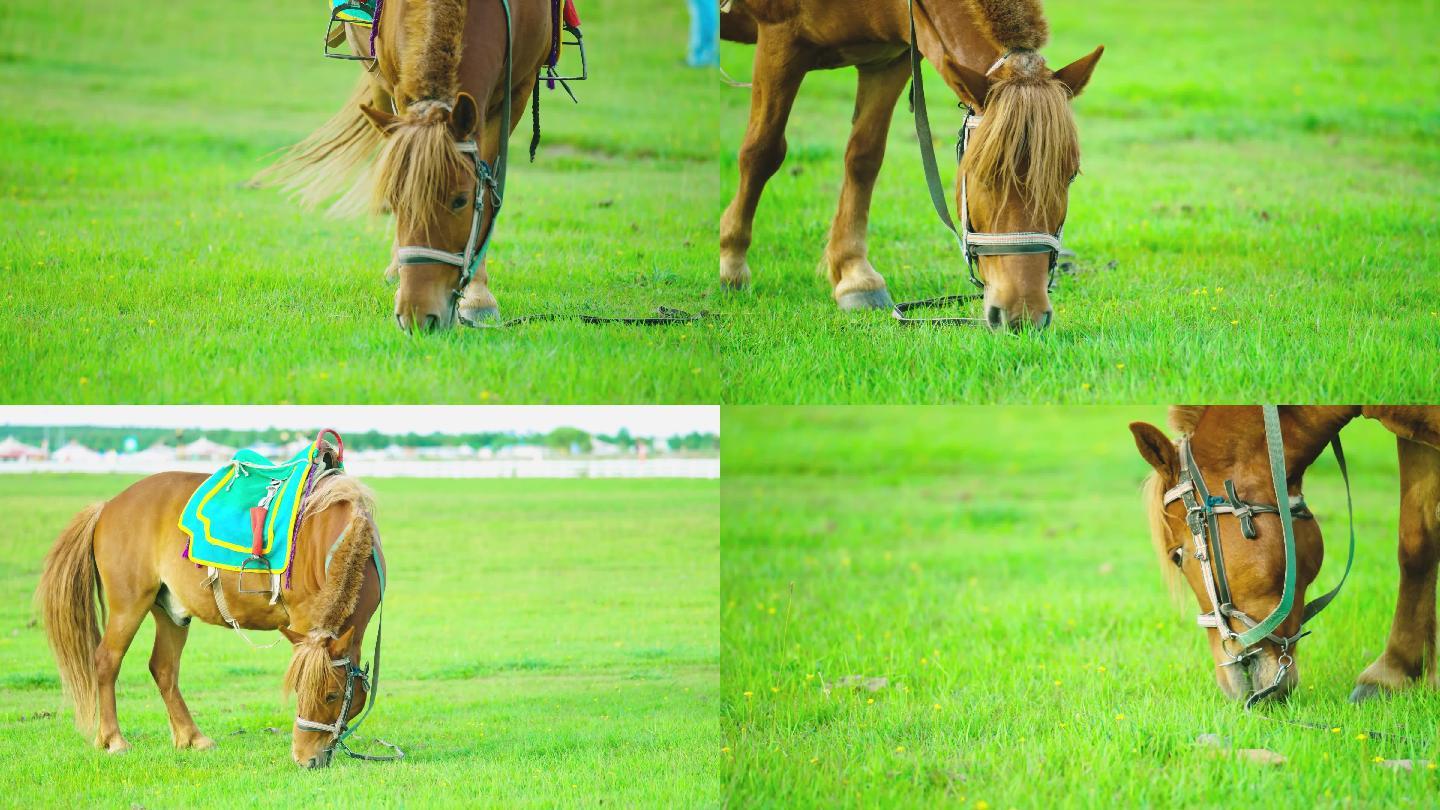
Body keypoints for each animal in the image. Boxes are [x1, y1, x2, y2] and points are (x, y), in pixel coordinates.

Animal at [37, 461, 388, 760]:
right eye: (299, 690)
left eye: (332, 695)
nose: (305, 759)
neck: (335, 535)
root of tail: (108, 507)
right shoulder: (303, 620)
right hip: (129, 605)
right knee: (106, 661)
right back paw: (114, 740)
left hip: (170, 611)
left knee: (163, 668)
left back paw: (192, 737)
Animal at [259, 0, 550, 331]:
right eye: (394, 200)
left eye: (460, 201)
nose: (418, 315)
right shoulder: (399, 86)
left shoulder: (517, 91)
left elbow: (490, 194)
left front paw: (478, 299)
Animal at [720, 0, 1100, 328]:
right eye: (981, 174)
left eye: (1069, 177)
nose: (1025, 313)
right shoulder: (780, 38)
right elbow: (762, 151)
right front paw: (733, 263)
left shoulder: (890, 59)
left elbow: (863, 158)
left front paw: (855, 275)